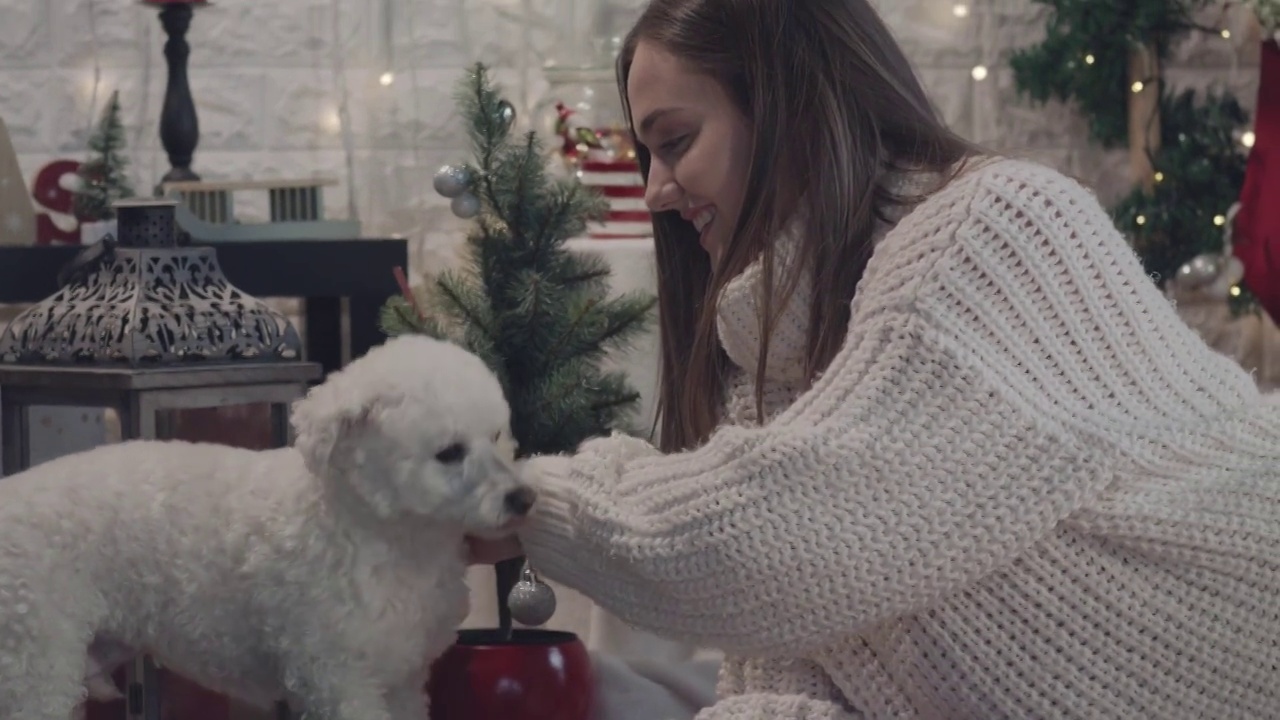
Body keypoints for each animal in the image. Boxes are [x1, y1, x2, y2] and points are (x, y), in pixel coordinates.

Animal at [0, 335, 532, 717]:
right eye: (449, 453)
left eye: (496, 435)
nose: (523, 498)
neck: (381, 533)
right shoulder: (339, 680)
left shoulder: (400, 680)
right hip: (35, 661)